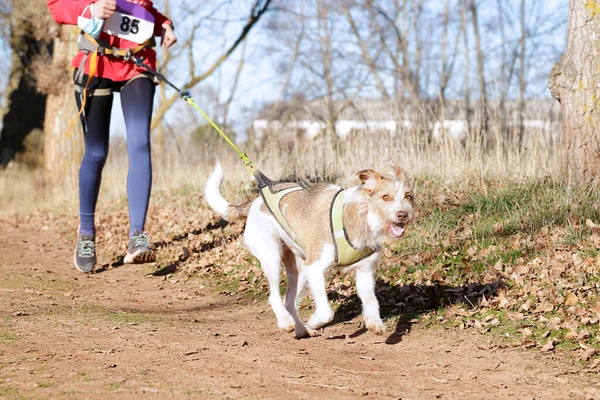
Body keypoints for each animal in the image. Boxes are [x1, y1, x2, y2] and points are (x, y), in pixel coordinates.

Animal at [204, 162, 414, 338]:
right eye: (385, 197)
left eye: (408, 197)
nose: (403, 214)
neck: (363, 217)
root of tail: (255, 202)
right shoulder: (315, 267)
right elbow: (326, 312)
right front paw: (314, 321)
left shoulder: (365, 272)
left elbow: (371, 301)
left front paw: (375, 323)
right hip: (272, 259)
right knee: (274, 297)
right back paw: (286, 322)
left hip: (300, 271)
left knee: (289, 302)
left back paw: (301, 329)